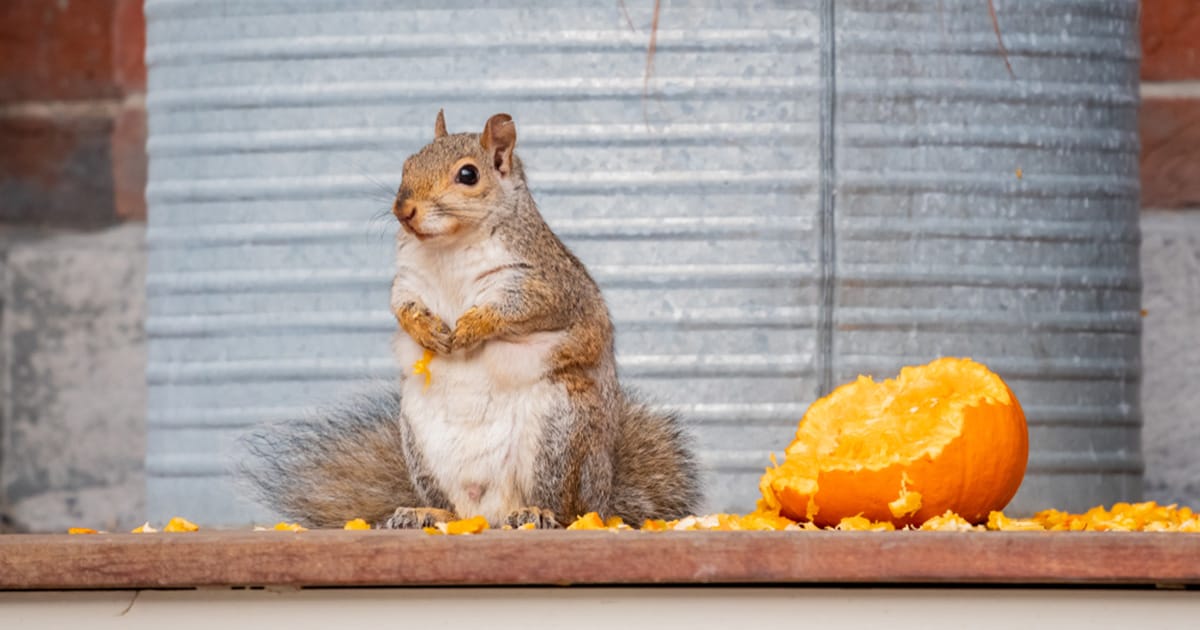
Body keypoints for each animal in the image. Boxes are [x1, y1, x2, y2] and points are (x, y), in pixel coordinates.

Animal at [242, 111, 702, 529]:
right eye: (407, 163)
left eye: (468, 174)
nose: (403, 209)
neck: (449, 247)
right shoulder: (408, 283)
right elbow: (403, 307)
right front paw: (429, 331)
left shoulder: (544, 283)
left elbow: (515, 309)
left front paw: (469, 329)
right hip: (420, 442)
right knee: (456, 508)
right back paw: (426, 513)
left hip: (559, 432)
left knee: (565, 507)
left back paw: (537, 513)